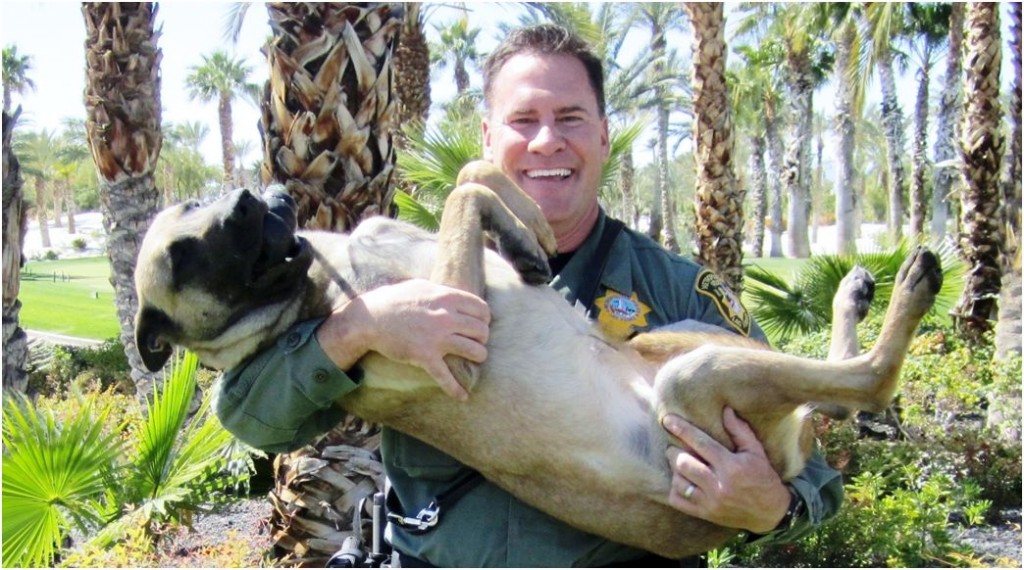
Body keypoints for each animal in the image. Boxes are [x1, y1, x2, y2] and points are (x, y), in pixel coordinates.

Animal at [136, 160, 942, 556]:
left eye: (203, 210)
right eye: (188, 252)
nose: (254, 195)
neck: (318, 289)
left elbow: (474, 173)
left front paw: (524, 227)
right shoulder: (455, 333)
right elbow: (461, 192)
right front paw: (522, 231)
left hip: (682, 335)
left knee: (831, 397)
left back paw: (858, 293)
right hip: (695, 379)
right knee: (869, 382)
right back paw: (908, 286)